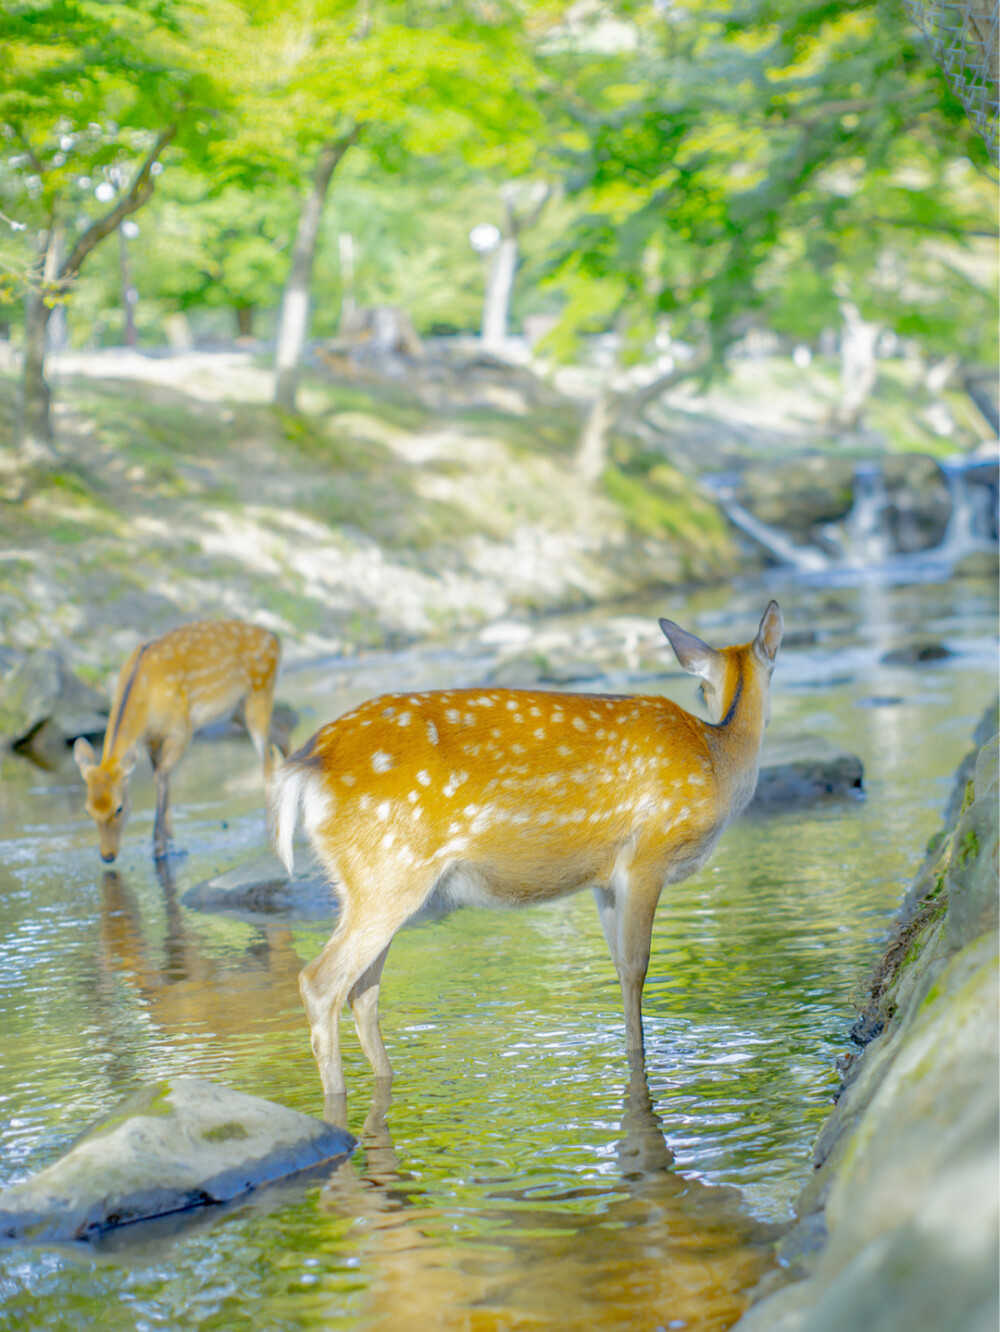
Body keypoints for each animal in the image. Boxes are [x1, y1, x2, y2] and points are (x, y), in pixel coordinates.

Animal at [271, 602, 782, 1092]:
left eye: (702, 688)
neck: (717, 757)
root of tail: (306, 764)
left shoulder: (604, 880)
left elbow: (619, 967)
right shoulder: (647, 856)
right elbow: (638, 966)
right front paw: (640, 1059)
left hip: (368, 880)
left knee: (363, 990)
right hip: (391, 867)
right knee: (321, 983)